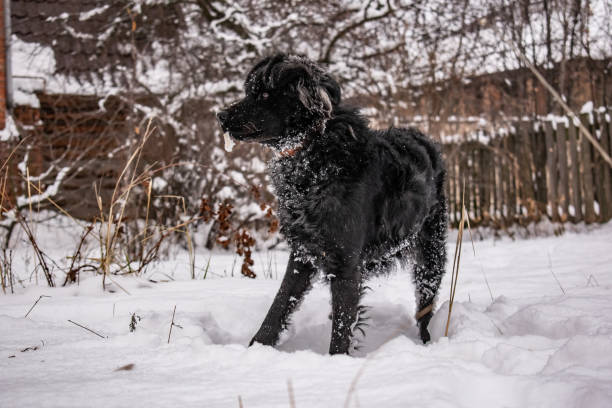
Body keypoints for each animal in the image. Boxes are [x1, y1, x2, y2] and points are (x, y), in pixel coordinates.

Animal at [218, 53, 448, 354]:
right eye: (248, 92)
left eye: (265, 94)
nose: (220, 116)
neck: (313, 157)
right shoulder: (302, 253)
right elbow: (279, 306)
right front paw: (256, 348)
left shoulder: (346, 263)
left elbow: (341, 328)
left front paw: (336, 362)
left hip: (431, 255)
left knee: (425, 307)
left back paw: (426, 343)